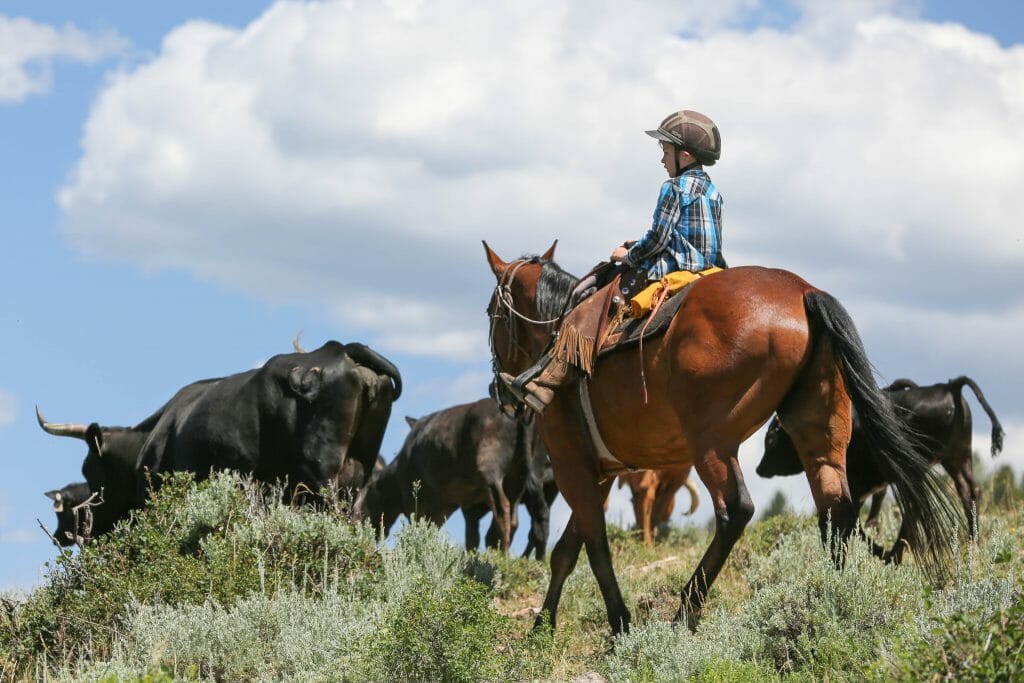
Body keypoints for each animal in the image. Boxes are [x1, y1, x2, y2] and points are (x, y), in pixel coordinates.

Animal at [356, 398, 539, 553]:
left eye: (360, 509)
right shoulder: (453, 507)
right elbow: (468, 537)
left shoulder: (412, 501)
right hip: (517, 477)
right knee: (513, 518)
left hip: (490, 470)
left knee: (502, 510)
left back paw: (503, 554)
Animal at [757, 375, 1005, 557]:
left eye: (770, 439)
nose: (760, 468)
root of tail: (949, 386)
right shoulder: (871, 486)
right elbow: (869, 519)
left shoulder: (855, 485)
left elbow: (855, 523)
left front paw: (875, 550)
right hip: (958, 458)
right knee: (969, 491)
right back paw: (972, 542)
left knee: (916, 508)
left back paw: (894, 553)